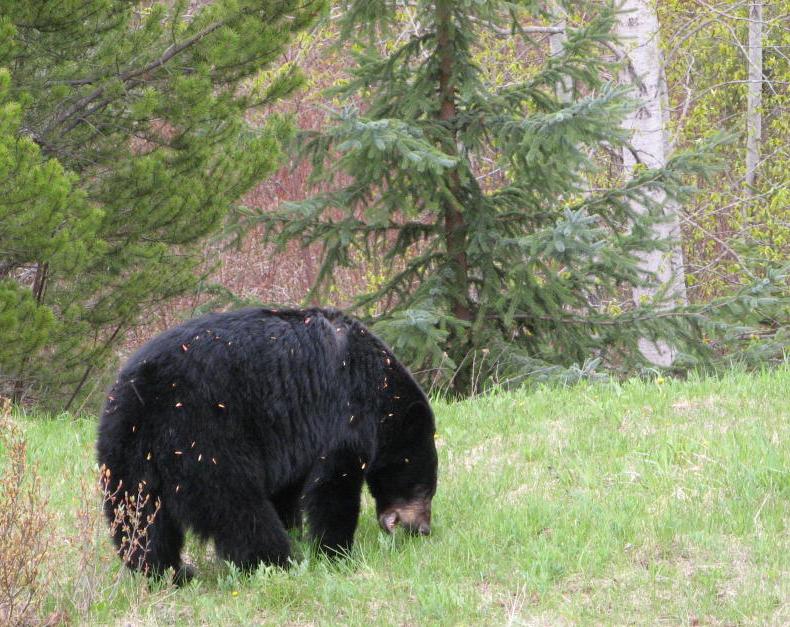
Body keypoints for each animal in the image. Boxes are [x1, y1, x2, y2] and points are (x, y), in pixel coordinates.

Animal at [96, 307, 437, 583]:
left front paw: (298, 531)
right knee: (235, 505)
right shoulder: (347, 410)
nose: (423, 530)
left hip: (126, 447)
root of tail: (143, 396)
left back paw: (169, 572)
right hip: (201, 436)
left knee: (139, 516)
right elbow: (334, 485)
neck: (382, 387)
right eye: (426, 488)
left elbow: (289, 489)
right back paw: (275, 560)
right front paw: (336, 551)